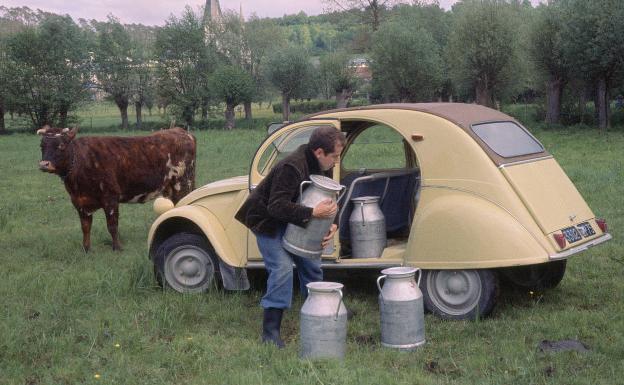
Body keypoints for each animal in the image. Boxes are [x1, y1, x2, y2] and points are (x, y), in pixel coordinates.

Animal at [39, 126, 195, 250]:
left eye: (61, 145)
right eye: (42, 146)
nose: (44, 164)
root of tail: (180, 131)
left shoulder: (111, 198)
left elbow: (112, 226)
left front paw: (117, 248)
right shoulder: (79, 203)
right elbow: (85, 227)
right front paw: (86, 249)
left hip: (182, 184)